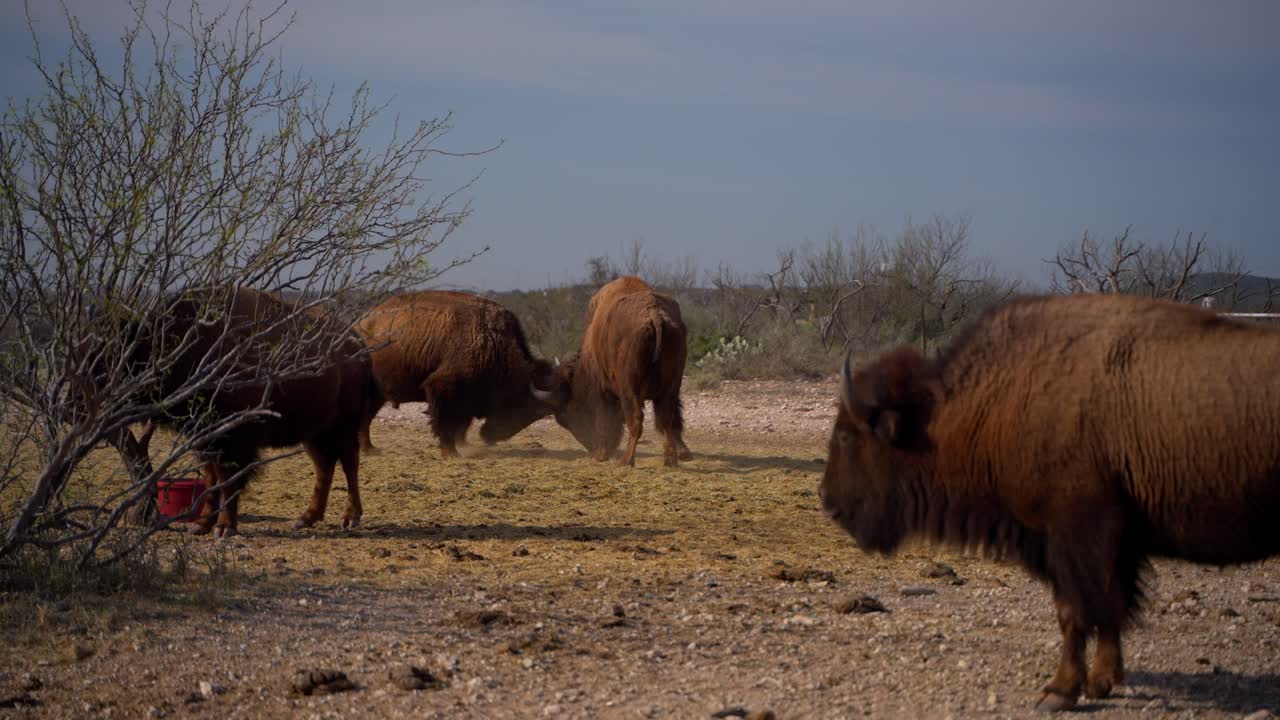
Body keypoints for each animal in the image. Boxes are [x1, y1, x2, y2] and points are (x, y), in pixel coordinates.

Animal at [356, 290, 555, 458]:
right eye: (521, 404)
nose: (491, 438)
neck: (492, 339)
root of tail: (359, 325)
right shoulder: (442, 389)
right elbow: (446, 422)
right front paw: (451, 452)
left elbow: (461, 424)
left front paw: (460, 446)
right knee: (365, 417)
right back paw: (368, 449)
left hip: (378, 394)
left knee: (366, 418)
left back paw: (370, 449)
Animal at [535, 276, 692, 466]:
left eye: (566, 415)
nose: (591, 448)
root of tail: (655, 316)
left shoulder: (603, 391)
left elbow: (605, 420)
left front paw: (601, 455)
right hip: (671, 387)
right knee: (666, 419)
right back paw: (670, 459)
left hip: (630, 390)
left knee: (636, 420)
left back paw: (626, 461)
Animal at [820, 293, 1280, 711]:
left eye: (845, 435)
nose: (828, 500)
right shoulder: (1111, 544)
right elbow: (1110, 608)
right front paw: (1101, 681)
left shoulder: (1075, 536)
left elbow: (1075, 612)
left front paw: (1059, 692)